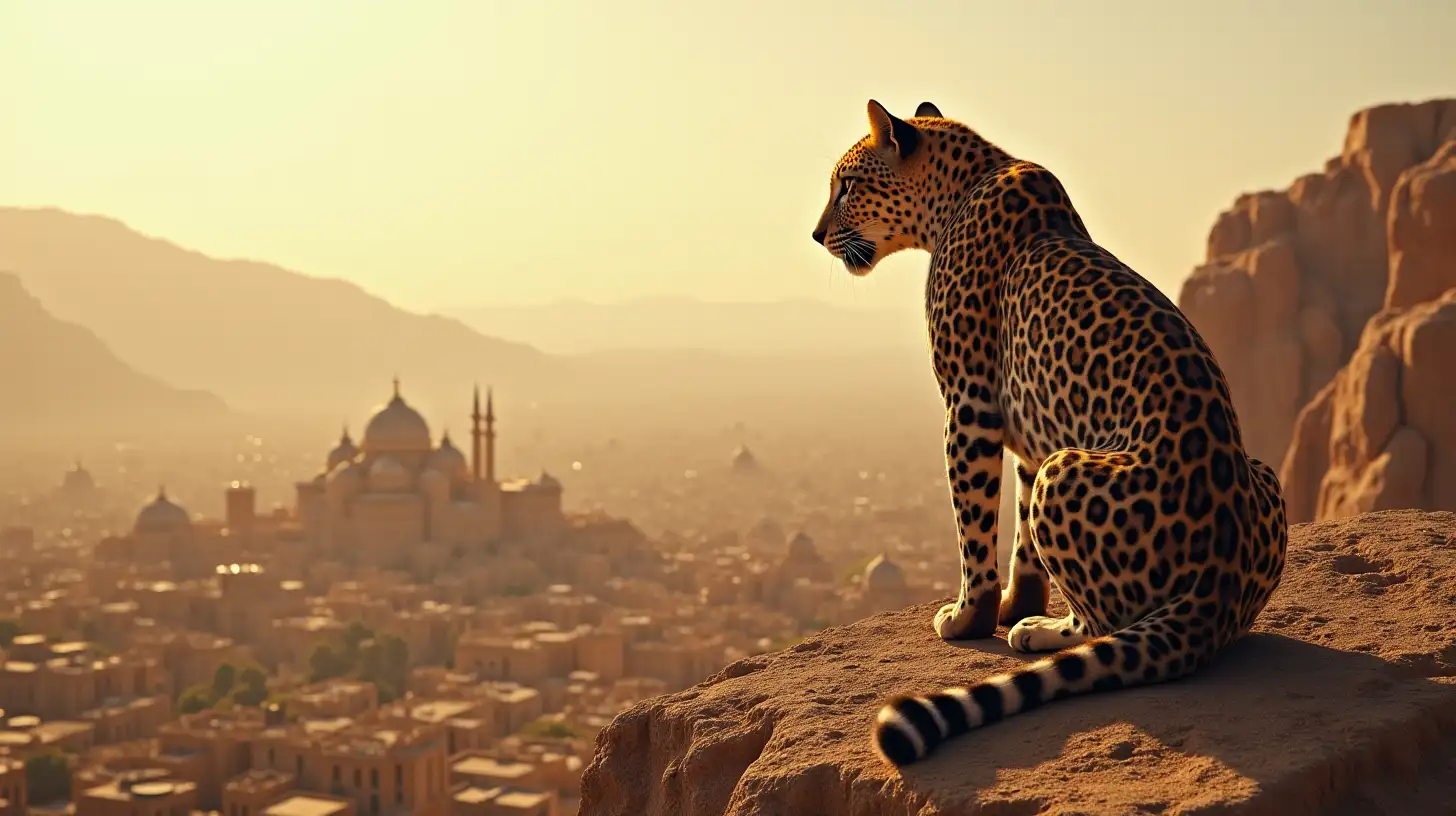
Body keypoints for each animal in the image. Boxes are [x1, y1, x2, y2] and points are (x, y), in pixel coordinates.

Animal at [815, 99, 1292, 769]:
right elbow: (1019, 536)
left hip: (1064, 468)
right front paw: (1016, 601)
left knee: (1104, 625)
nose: (816, 234)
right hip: (1255, 471)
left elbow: (973, 525)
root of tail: (1218, 586)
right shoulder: (1025, 433)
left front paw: (972, 616)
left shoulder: (969, 405)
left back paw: (1041, 634)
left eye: (848, 184)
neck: (959, 189)